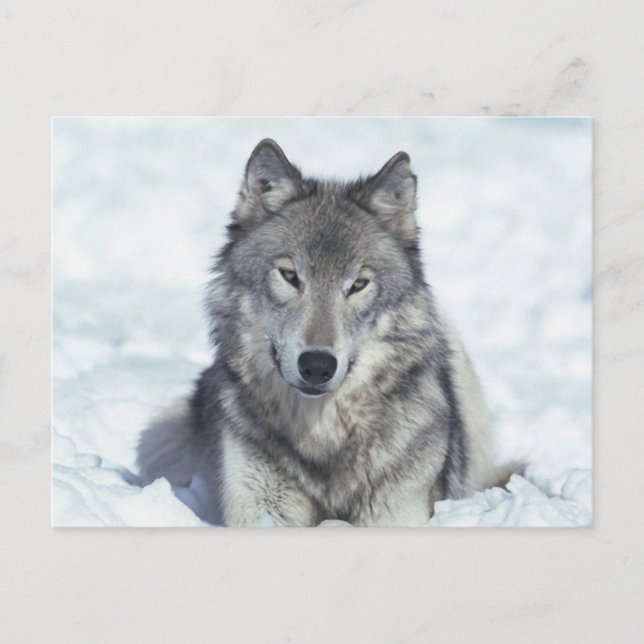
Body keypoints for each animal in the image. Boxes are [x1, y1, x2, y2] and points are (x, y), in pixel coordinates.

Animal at [137, 138, 497, 527]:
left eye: (357, 285)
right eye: (290, 276)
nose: (316, 366)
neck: (322, 434)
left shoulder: (396, 512)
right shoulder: (262, 509)